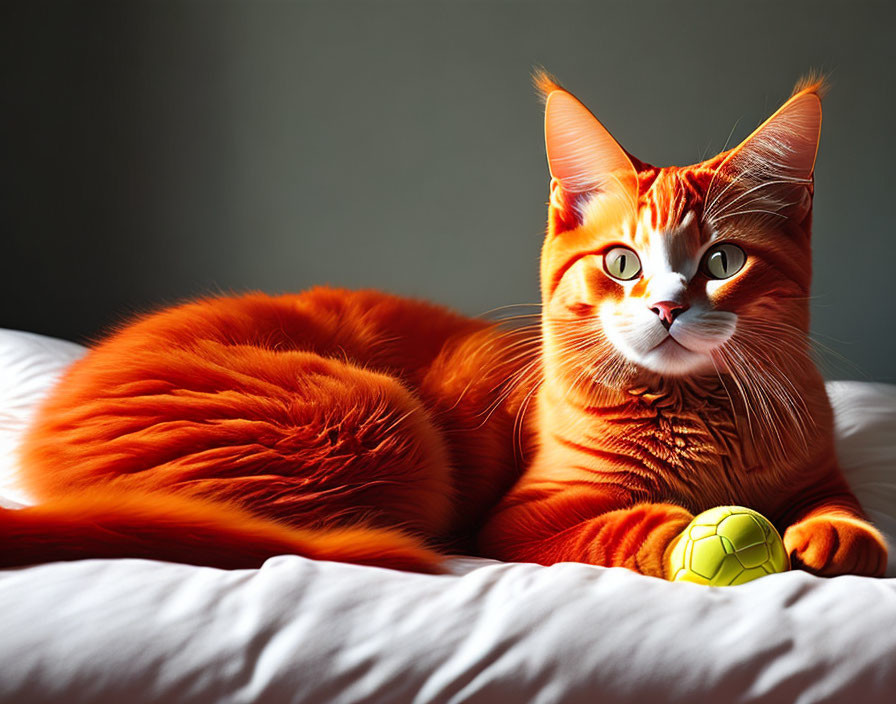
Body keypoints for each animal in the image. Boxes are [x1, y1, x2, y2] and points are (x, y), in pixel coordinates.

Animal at [0, 73, 880, 576]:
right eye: (623, 262)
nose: (666, 307)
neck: (699, 417)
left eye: (723, 260)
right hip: (382, 426)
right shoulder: (523, 520)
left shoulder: (817, 469)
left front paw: (835, 536)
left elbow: (845, 510)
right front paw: (688, 529)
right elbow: (618, 527)